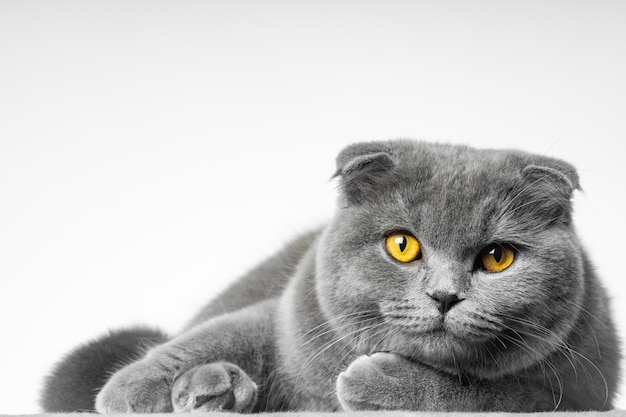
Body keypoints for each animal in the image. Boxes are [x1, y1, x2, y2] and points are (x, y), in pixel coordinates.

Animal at [40, 139, 620, 410]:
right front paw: (131, 389)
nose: (444, 295)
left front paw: (381, 384)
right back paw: (214, 389)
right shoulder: (291, 318)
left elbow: (492, 396)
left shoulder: (579, 395)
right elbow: (226, 333)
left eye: (498, 257)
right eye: (402, 246)